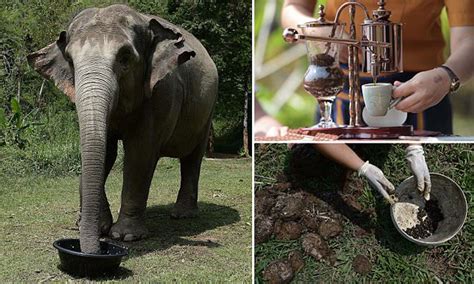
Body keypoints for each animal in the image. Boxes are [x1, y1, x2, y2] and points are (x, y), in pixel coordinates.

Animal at [27, 3, 217, 253]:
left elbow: (140, 153)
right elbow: (105, 152)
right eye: (69, 59)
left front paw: (125, 236)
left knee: (193, 158)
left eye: (125, 58)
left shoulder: (162, 92)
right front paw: (99, 228)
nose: (92, 250)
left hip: (208, 111)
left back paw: (182, 215)